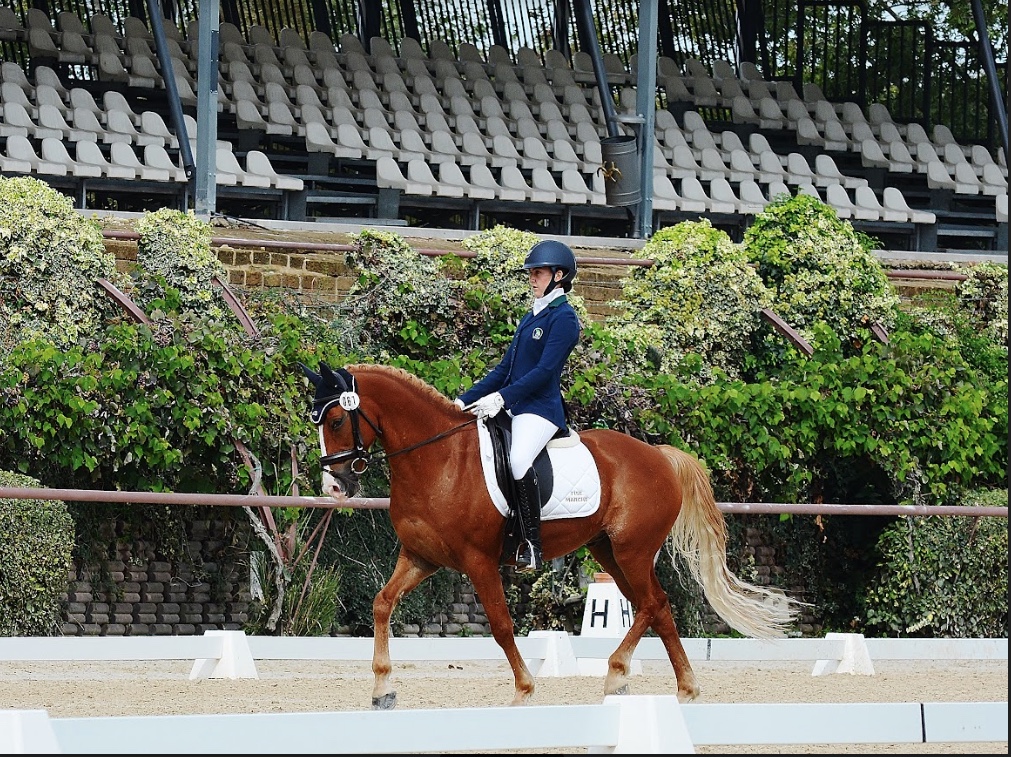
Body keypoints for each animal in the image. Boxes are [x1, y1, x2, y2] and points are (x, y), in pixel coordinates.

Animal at [299, 359, 804, 707]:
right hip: (608, 552)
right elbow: (381, 604)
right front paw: (383, 689)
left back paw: (620, 673)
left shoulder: (479, 561)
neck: (438, 460)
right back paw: (679, 686)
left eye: (338, 420)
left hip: (633, 550)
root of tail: (659, 454)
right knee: (656, 608)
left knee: (652, 603)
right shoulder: (420, 557)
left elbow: (501, 626)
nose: (332, 488)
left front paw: (524, 688)